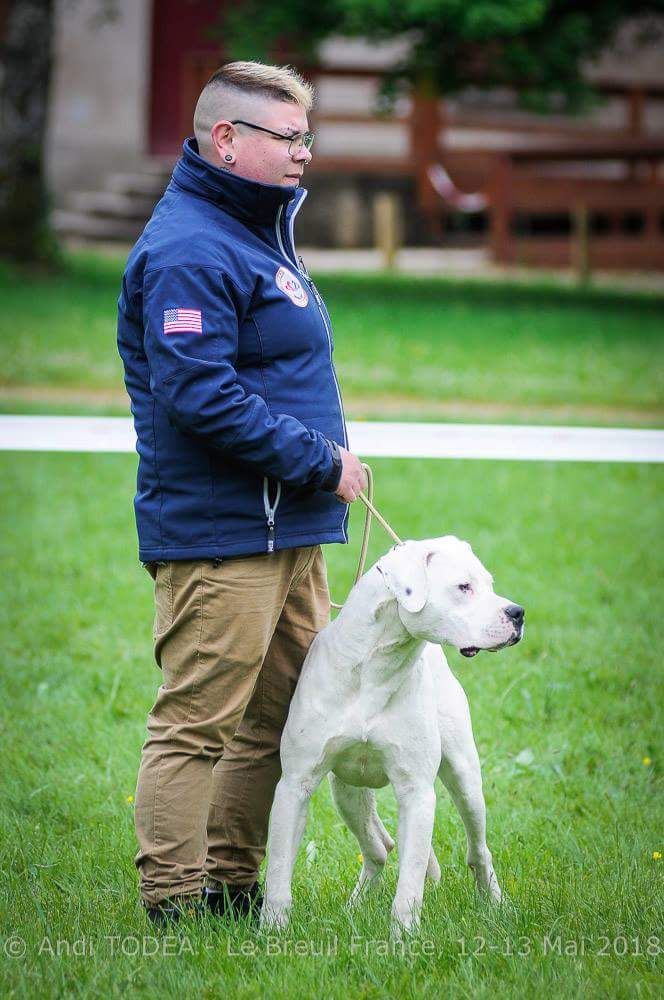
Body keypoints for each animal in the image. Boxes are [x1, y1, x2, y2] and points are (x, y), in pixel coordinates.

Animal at [260, 536, 524, 932]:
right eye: (464, 587)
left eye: (489, 584)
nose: (517, 613)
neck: (376, 668)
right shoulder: (295, 785)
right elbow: (278, 868)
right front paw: (273, 929)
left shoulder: (417, 793)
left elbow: (411, 881)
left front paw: (403, 937)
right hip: (347, 793)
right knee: (378, 848)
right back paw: (353, 907)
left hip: (465, 781)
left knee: (478, 850)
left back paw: (495, 905)